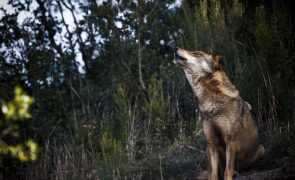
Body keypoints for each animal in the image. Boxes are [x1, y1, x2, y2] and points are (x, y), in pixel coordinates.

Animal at [176, 47, 266, 180]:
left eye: (197, 53)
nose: (176, 48)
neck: (211, 106)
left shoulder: (230, 141)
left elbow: (227, 170)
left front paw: (229, 175)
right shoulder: (212, 144)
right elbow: (213, 173)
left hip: (261, 149)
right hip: (207, 150)